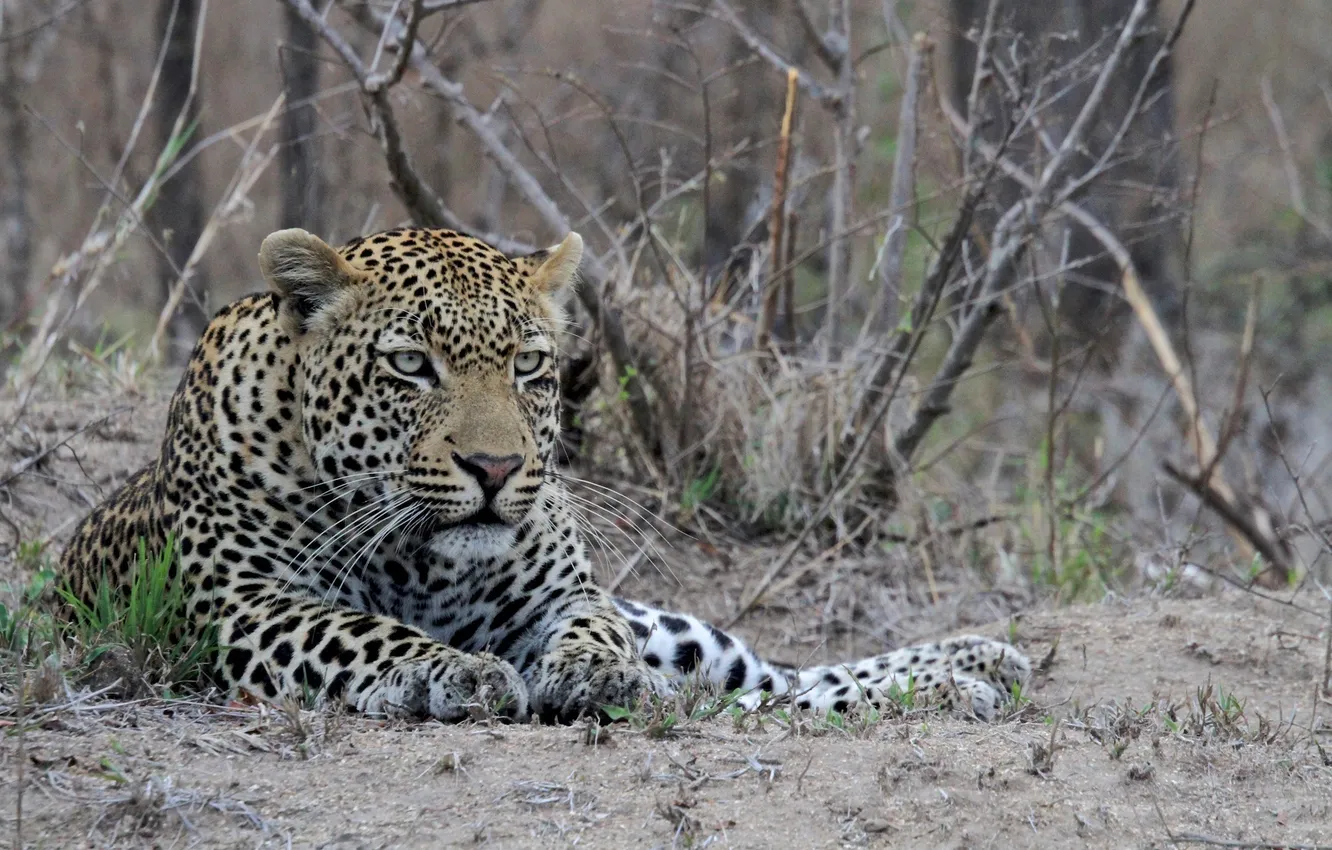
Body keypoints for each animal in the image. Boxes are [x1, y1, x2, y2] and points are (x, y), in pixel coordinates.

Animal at [60, 225, 1031, 723]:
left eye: (528, 365)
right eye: (410, 367)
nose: (495, 467)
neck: (425, 562)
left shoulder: (566, 595)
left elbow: (593, 630)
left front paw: (593, 675)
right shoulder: (248, 603)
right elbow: (359, 631)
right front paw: (457, 672)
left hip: (675, 630)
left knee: (773, 678)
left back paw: (973, 662)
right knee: (772, 695)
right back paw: (965, 680)